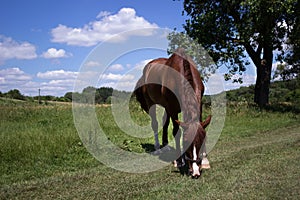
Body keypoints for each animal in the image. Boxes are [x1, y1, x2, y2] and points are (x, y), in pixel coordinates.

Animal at [134, 48, 211, 178]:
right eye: (186, 142)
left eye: (202, 141)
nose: (195, 172)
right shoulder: (172, 107)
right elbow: (176, 132)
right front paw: (179, 161)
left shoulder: (199, 102)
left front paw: (205, 161)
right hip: (152, 103)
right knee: (155, 124)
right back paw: (158, 148)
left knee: (165, 123)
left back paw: (165, 146)